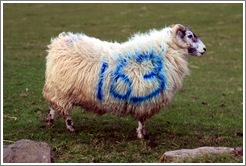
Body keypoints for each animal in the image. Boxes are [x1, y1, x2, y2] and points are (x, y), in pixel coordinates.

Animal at [42, 23, 206, 139]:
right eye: (190, 36)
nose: (204, 49)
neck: (165, 53)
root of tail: (59, 42)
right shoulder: (143, 97)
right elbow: (142, 118)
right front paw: (142, 135)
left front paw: (143, 133)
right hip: (62, 90)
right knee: (62, 110)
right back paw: (70, 127)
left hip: (59, 89)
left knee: (54, 106)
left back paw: (50, 122)